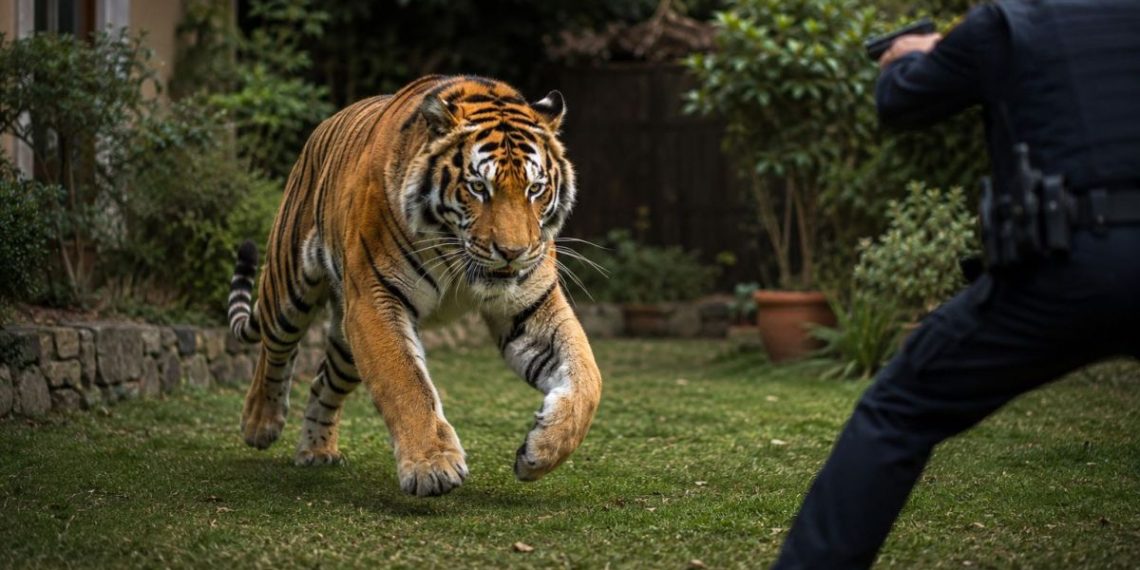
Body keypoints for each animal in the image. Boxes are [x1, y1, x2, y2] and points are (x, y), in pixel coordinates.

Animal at [226, 75, 603, 497]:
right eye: (478, 187)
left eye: (535, 189)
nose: (512, 252)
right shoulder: (376, 300)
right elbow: (405, 380)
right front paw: (433, 466)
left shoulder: (531, 304)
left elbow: (588, 378)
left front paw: (541, 451)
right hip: (288, 287)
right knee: (273, 350)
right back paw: (260, 423)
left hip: (346, 343)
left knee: (323, 381)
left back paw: (317, 451)